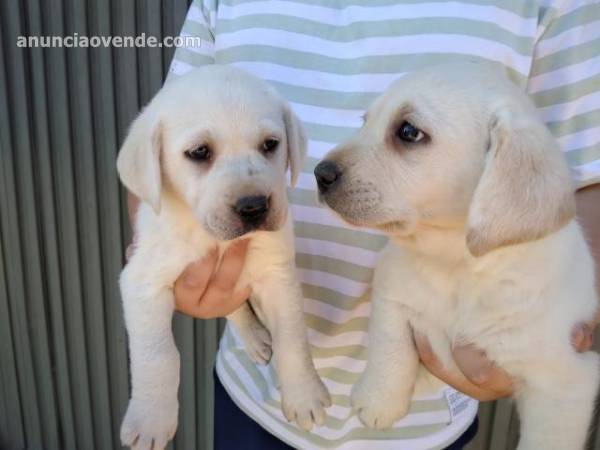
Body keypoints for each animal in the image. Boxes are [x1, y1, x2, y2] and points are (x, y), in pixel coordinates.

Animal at [116, 65, 330, 448]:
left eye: (270, 145)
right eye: (200, 152)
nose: (254, 207)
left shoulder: (278, 275)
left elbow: (293, 336)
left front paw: (304, 393)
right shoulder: (141, 282)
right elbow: (158, 356)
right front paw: (152, 419)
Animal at [316, 62, 596, 450]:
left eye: (408, 131)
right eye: (365, 121)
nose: (320, 174)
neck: (456, 265)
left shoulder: (563, 386)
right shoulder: (390, 287)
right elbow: (390, 346)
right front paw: (378, 400)